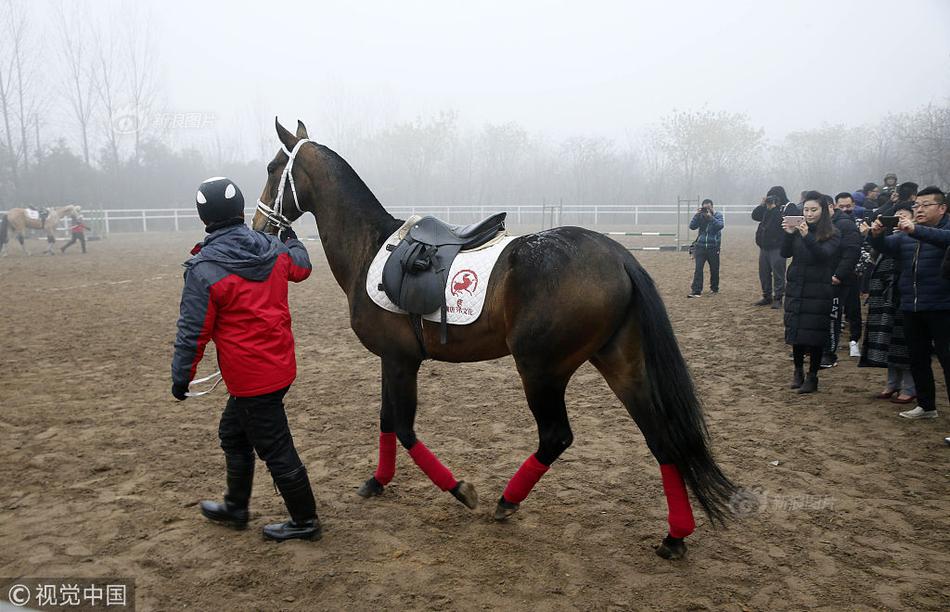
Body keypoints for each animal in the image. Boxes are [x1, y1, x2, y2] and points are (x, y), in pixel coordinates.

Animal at [251, 119, 736, 560]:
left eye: (274, 167)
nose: (257, 225)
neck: (372, 248)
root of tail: (617, 255)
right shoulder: (392, 360)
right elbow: (388, 421)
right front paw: (377, 481)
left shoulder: (400, 359)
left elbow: (404, 428)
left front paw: (460, 489)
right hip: (620, 363)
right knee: (662, 437)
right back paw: (675, 535)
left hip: (541, 370)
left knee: (556, 436)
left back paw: (508, 500)